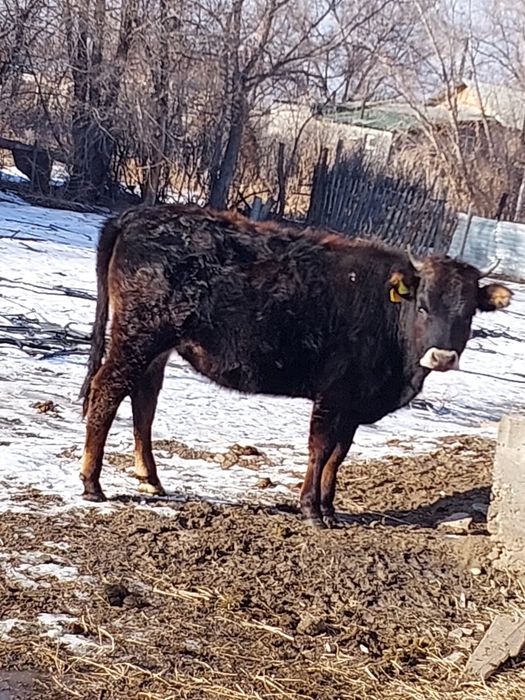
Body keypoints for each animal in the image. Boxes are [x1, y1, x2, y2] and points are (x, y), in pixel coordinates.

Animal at [79, 204, 512, 527]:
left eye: (469, 313)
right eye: (423, 306)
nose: (443, 357)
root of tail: (137, 214)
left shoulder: (353, 402)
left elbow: (340, 453)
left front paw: (330, 508)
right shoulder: (334, 393)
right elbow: (320, 449)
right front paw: (310, 509)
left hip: (155, 346)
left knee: (144, 400)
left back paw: (150, 479)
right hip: (138, 336)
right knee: (107, 391)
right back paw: (92, 482)